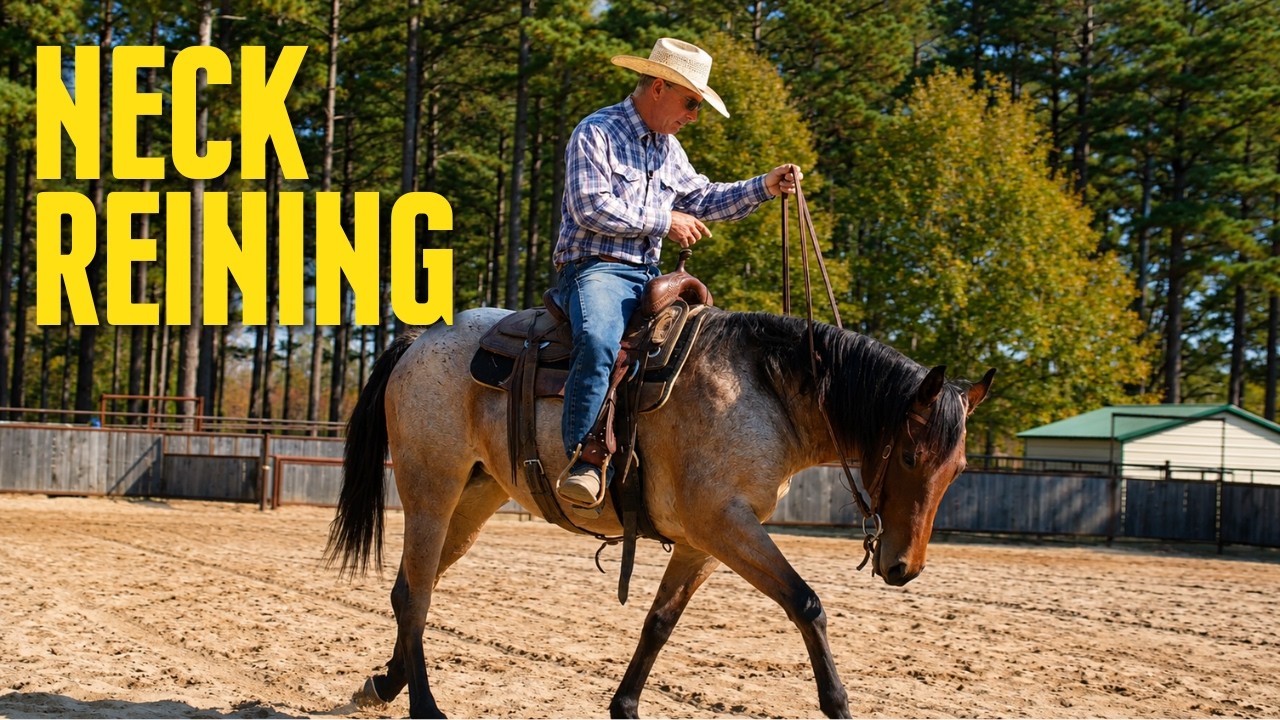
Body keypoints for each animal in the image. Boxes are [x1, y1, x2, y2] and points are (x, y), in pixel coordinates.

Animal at [326, 305, 994, 719]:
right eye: (908, 454)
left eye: (959, 468)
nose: (904, 567)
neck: (765, 391)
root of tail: (421, 340)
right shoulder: (726, 524)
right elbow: (806, 603)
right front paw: (838, 704)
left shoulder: (704, 541)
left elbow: (660, 622)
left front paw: (624, 705)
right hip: (430, 488)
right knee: (416, 593)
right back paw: (424, 706)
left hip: (475, 497)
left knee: (413, 585)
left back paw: (385, 683)